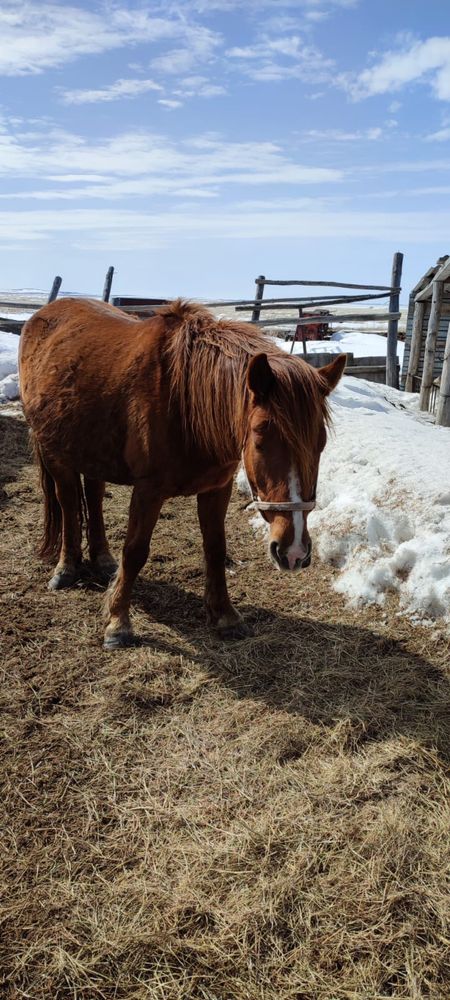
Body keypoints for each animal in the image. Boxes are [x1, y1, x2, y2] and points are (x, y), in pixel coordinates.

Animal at [19, 296, 344, 648]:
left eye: (321, 442)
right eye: (260, 435)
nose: (294, 552)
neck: (184, 402)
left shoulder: (217, 489)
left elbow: (216, 549)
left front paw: (225, 616)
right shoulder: (148, 490)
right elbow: (135, 551)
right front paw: (118, 622)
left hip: (91, 449)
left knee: (93, 495)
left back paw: (103, 559)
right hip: (56, 453)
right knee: (67, 504)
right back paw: (66, 569)